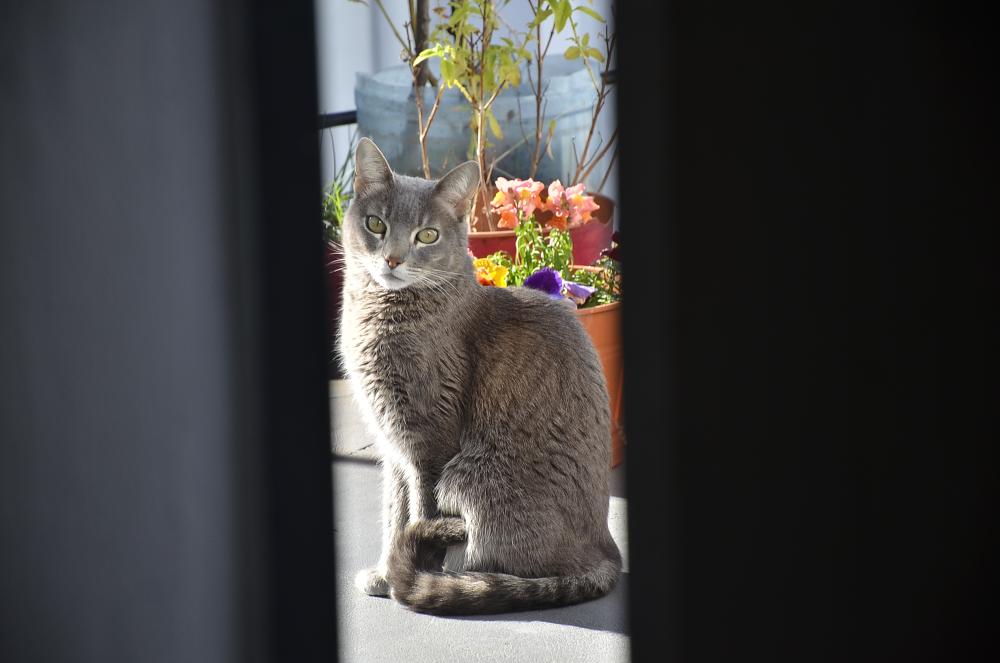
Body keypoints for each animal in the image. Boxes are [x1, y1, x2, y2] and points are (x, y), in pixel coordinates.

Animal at [340, 137, 620, 616]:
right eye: (376, 224)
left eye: (427, 235)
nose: (392, 259)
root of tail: (606, 551)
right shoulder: (393, 446)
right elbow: (395, 512)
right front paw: (383, 572)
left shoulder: (428, 443)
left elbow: (419, 514)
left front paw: (408, 575)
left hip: (468, 477)